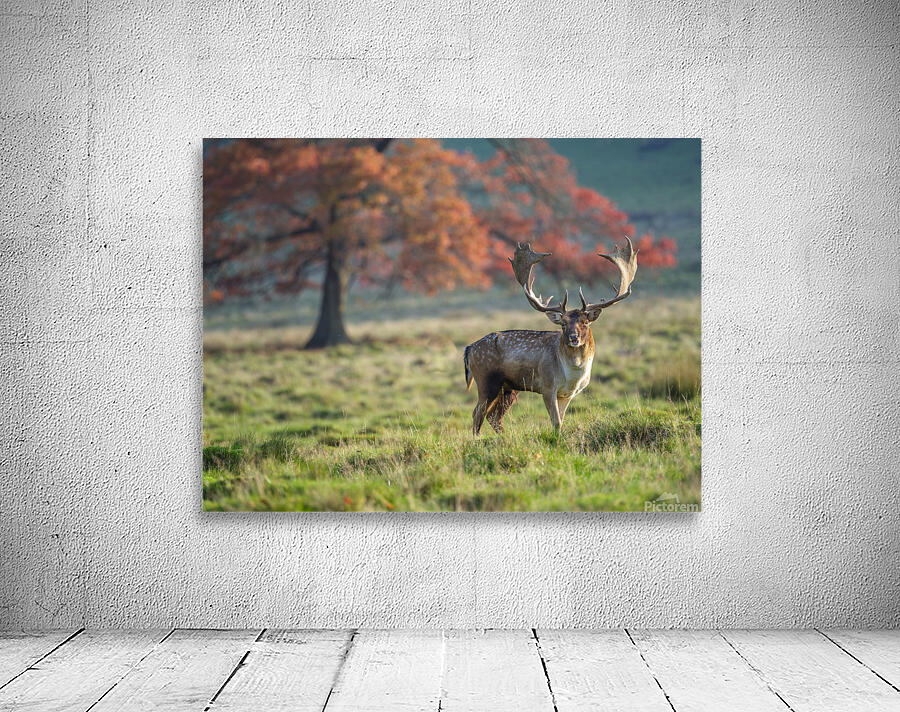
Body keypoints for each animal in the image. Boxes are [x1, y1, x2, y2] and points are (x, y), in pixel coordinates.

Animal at [463, 238, 638, 435]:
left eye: (585, 322)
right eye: (563, 323)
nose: (573, 337)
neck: (573, 374)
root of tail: (469, 349)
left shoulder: (567, 394)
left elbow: (560, 421)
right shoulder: (547, 387)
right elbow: (556, 422)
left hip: (508, 388)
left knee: (493, 416)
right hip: (486, 380)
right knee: (477, 413)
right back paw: (477, 439)